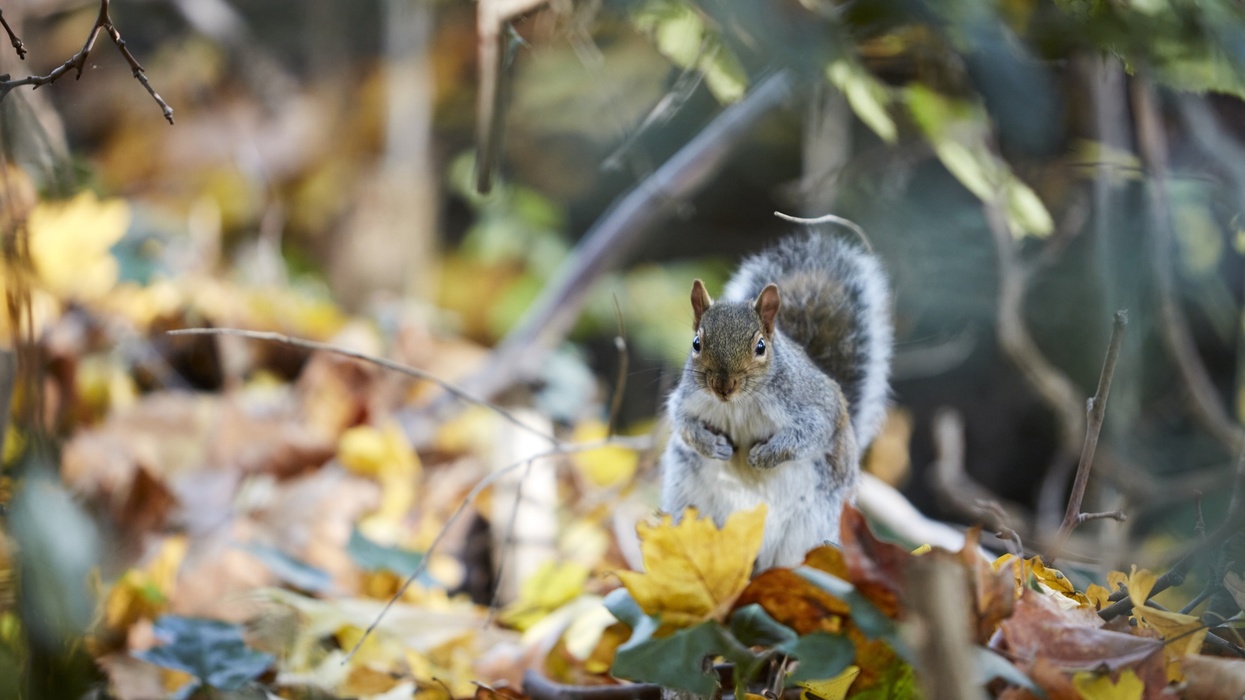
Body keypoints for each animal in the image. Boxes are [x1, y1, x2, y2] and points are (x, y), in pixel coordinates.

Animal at [660, 230, 892, 570]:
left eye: (760, 346)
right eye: (696, 343)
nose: (723, 386)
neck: (738, 404)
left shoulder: (811, 404)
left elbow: (811, 433)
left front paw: (765, 456)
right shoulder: (688, 398)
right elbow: (682, 422)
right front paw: (712, 445)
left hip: (810, 526)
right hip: (688, 501)